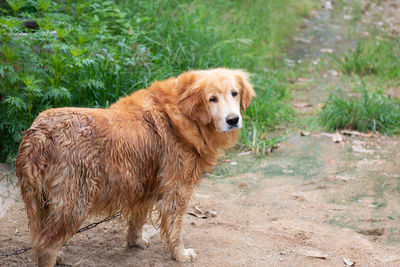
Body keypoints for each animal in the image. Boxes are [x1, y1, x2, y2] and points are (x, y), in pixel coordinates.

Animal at [15, 68, 255, 266]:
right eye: (212, 99)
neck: (181, 113)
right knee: (45, 246)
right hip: (74, 202)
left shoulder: (147, 183)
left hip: (39, 200)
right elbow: (175, 227)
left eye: (234, 93)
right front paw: (180, 254)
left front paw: (136, 241)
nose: (233, 119)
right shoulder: (176, 189)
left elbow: (138, 218)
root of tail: (41, 133)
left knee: (39, 238)